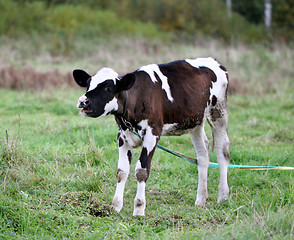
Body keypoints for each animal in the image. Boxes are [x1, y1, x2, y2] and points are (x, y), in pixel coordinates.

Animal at [73, 57, 230, 217]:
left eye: (108, 88)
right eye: (88, 85)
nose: (83, 101)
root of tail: (215, 62)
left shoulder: (152, 134)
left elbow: (142, 171)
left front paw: (139, 209)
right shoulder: (122, 136)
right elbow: (122, 171)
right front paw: (115, 206)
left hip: (218, 113)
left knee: (222, 152)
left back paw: (223, 196)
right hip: (195, 121)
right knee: (203, 154)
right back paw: (201, 199)